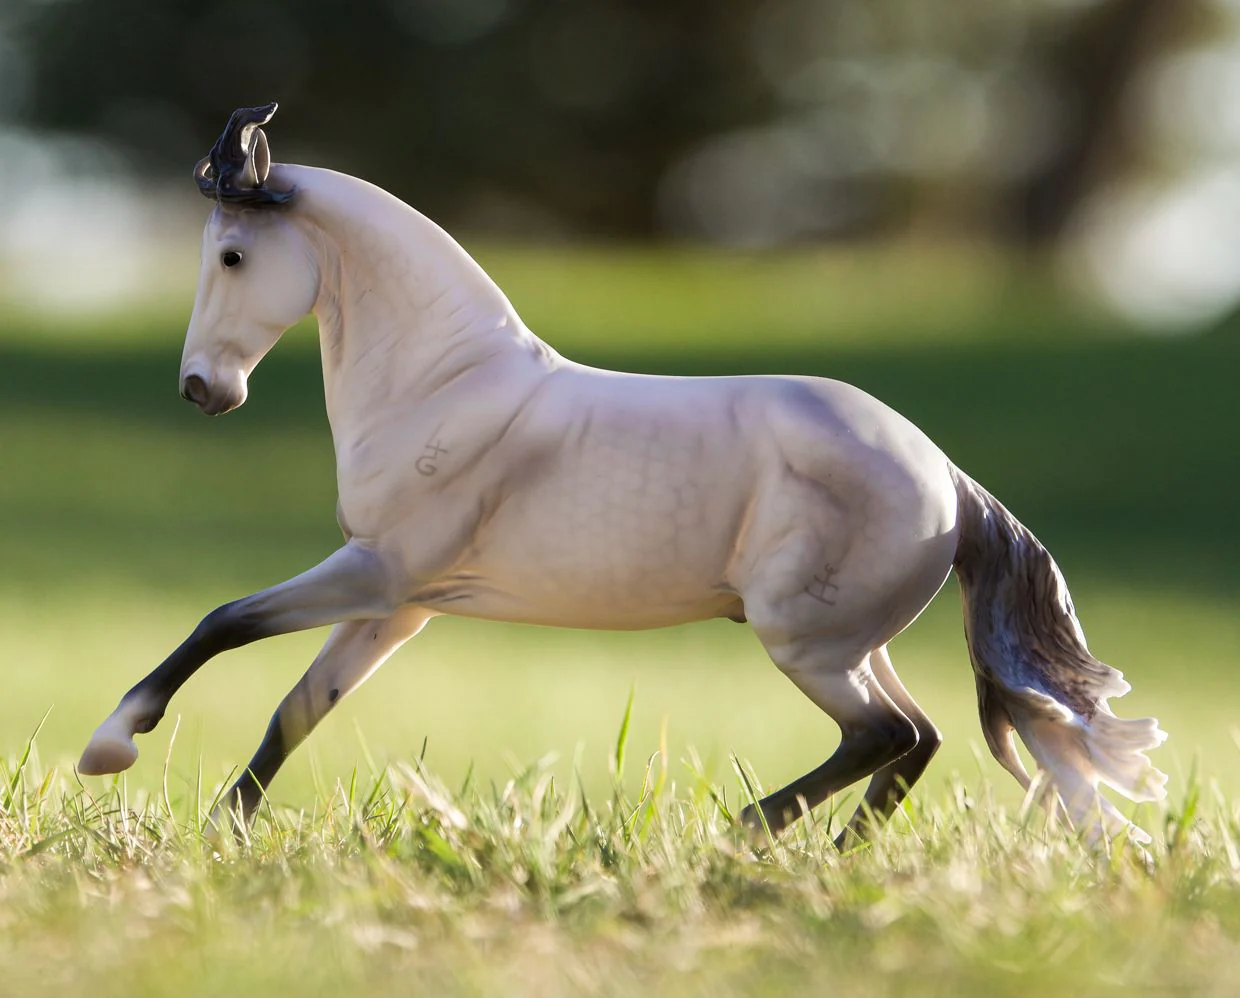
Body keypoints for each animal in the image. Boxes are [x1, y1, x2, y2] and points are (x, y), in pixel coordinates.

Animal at [79, 104, 1167, 847]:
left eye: (230, 255)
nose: (202, 389)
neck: (443, 382)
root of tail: (946, 476)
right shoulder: (401, 603)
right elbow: (297, 708)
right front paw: (224, 834)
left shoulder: (377, 571)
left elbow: (223, 622)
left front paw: (111, 748)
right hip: (849, 639)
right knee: (919, 737)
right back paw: (831, 857)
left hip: (805, 640)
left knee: (884, 736)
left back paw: (743, 836)